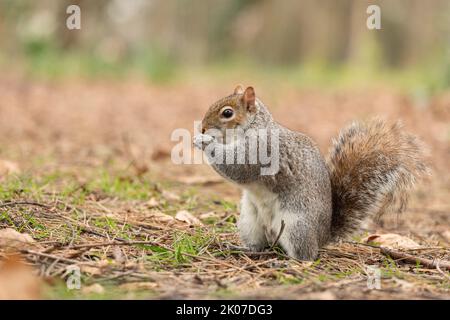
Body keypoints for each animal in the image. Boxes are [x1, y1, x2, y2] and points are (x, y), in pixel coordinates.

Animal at [193, 85, 428, 260]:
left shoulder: (263, 150)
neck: (253, 127)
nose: (203, 127)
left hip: (297, 225)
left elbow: (238, 167)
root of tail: (323, 236)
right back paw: (244, 249)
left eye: (227, 113)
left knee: (307, 255)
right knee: (258, 245)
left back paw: (290, 262)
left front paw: (205, 142)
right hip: (250, 222)